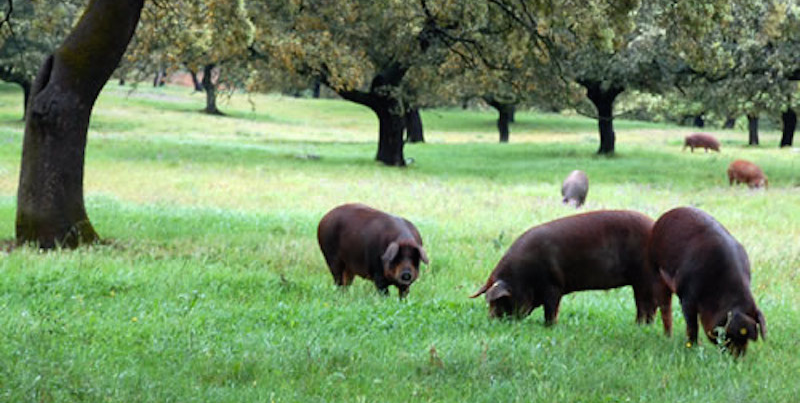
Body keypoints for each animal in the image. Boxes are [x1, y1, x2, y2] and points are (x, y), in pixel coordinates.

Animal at [468, 210, 668, 330]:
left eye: (500, 301)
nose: (491, 320)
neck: (522, 277)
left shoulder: (553, 285)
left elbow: (551, 310)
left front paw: (550, 327)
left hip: (644, 277)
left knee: (647, 304)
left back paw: (641, 326)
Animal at [648, 208, 764, 356]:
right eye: (734, 334)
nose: (739, 357)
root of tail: (665, 215)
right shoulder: (687, 297)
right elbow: (692, 325)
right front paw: (693, 347)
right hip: (655, 268)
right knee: (665, 307)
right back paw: (668, 337)